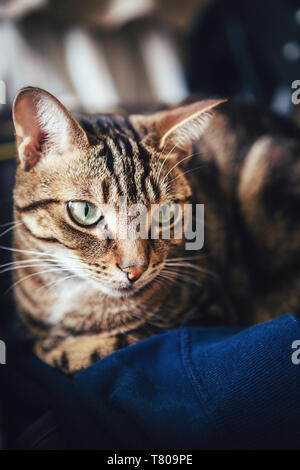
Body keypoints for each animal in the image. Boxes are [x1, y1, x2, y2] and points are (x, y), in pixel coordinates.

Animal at [10, 86, 300, 374]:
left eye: (164, 214)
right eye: (85, 211)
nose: (135, 270)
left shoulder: (207, 315)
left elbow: (107, 346)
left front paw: (53, 347)